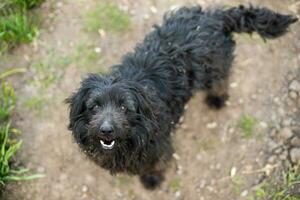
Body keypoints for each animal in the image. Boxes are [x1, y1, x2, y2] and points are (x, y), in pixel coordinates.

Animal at [66, 4, 298, 189]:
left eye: (125, 107)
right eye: (94, 106)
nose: (106, 130)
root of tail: (216, 17)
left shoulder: (158, 148)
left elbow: (155, 166)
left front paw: (152, 180)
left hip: (214, 68)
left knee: (221, 81)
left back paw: (217, 99)